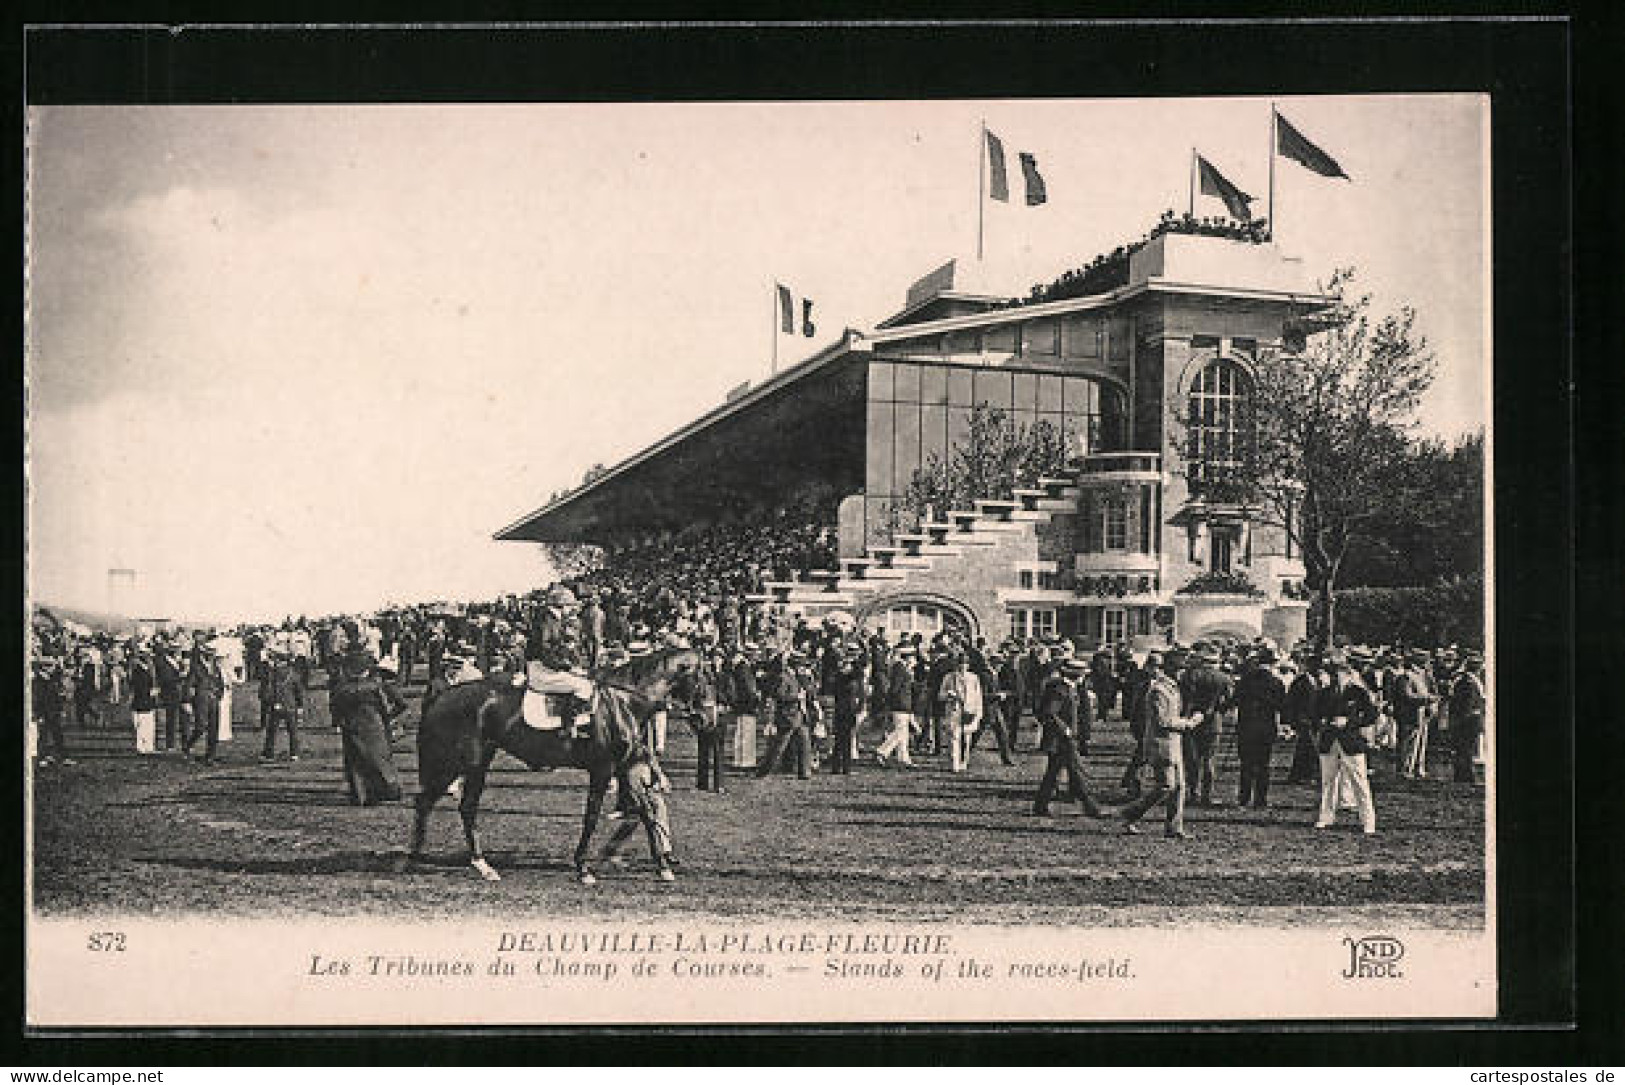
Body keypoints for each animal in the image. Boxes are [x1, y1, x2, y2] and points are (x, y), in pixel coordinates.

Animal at [404, 643, 698, 883]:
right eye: (703, 675)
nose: (705, 716)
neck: (621, 700)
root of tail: (441, 696)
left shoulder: (627, 768)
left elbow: (646, 811)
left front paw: (662, 866)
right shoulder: (602, 770)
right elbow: (592, 816)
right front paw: (583, 868)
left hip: (474, 764)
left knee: (450, 805)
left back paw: (464, 863)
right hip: (460, 764)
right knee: (436, 803)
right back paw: (426, 859)